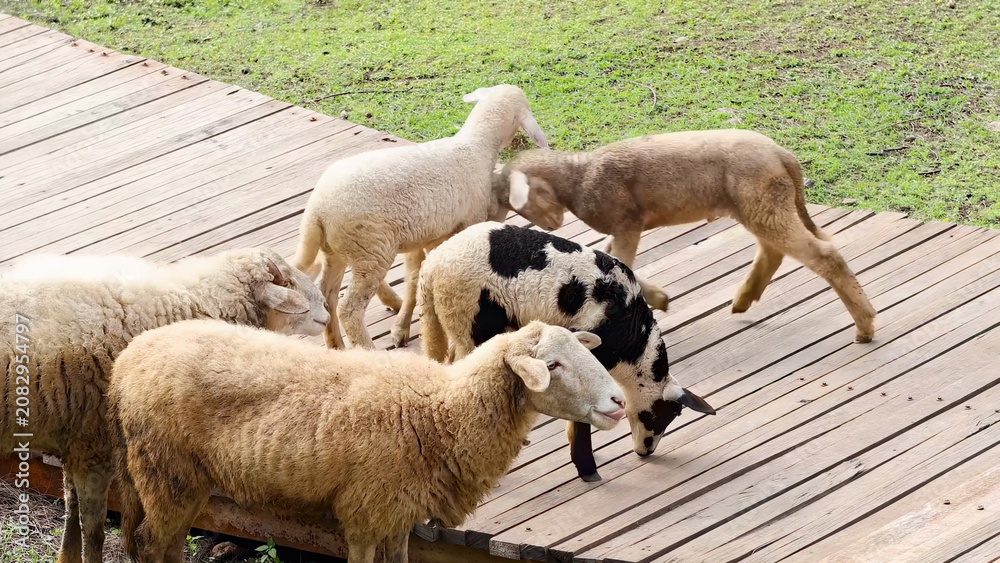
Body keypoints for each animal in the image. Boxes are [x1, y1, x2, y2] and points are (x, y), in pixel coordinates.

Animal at [0, 248, 328, 563]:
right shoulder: (91, 448)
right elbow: (92, 530)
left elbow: (71, 516)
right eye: (287, 282)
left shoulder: (73, 442)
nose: (326, 310)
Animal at [109, 319, 624, 563]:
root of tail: (128, 359)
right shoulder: (363, 512)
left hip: (181, 478)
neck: (440, 410)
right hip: (164, 471)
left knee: (169, 544)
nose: (619, 401)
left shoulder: (399, 511)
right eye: (552, 365)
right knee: (152, 545)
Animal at [294, 84, 548, 351]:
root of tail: (315, 210)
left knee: (327, 296)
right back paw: (366, 348)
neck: (476, 144)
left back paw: (337, 346)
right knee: (349, 310)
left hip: (336, 250)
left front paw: (403, 325)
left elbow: (415, 278)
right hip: (369, 250)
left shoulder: (427, 235)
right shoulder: (468, 221)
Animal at [419, 221, 716, 481]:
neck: (635, 351)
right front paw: (587, 468)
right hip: (469, 318)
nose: (646, 451)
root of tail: (429, 270)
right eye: (664, 413)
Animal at [499, 129, 877, 343]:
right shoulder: (622, 230)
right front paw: (660, 297)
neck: (578, 176)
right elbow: (611, 262)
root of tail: (784, 156)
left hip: (761, 202)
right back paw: (743, 299)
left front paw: (658, 298)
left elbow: (621, 263)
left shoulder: (627, 223)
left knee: (821, 253)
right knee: (775, 250)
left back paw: (865, 326)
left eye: (519, 203)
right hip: (760, 205)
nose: (552, 225)